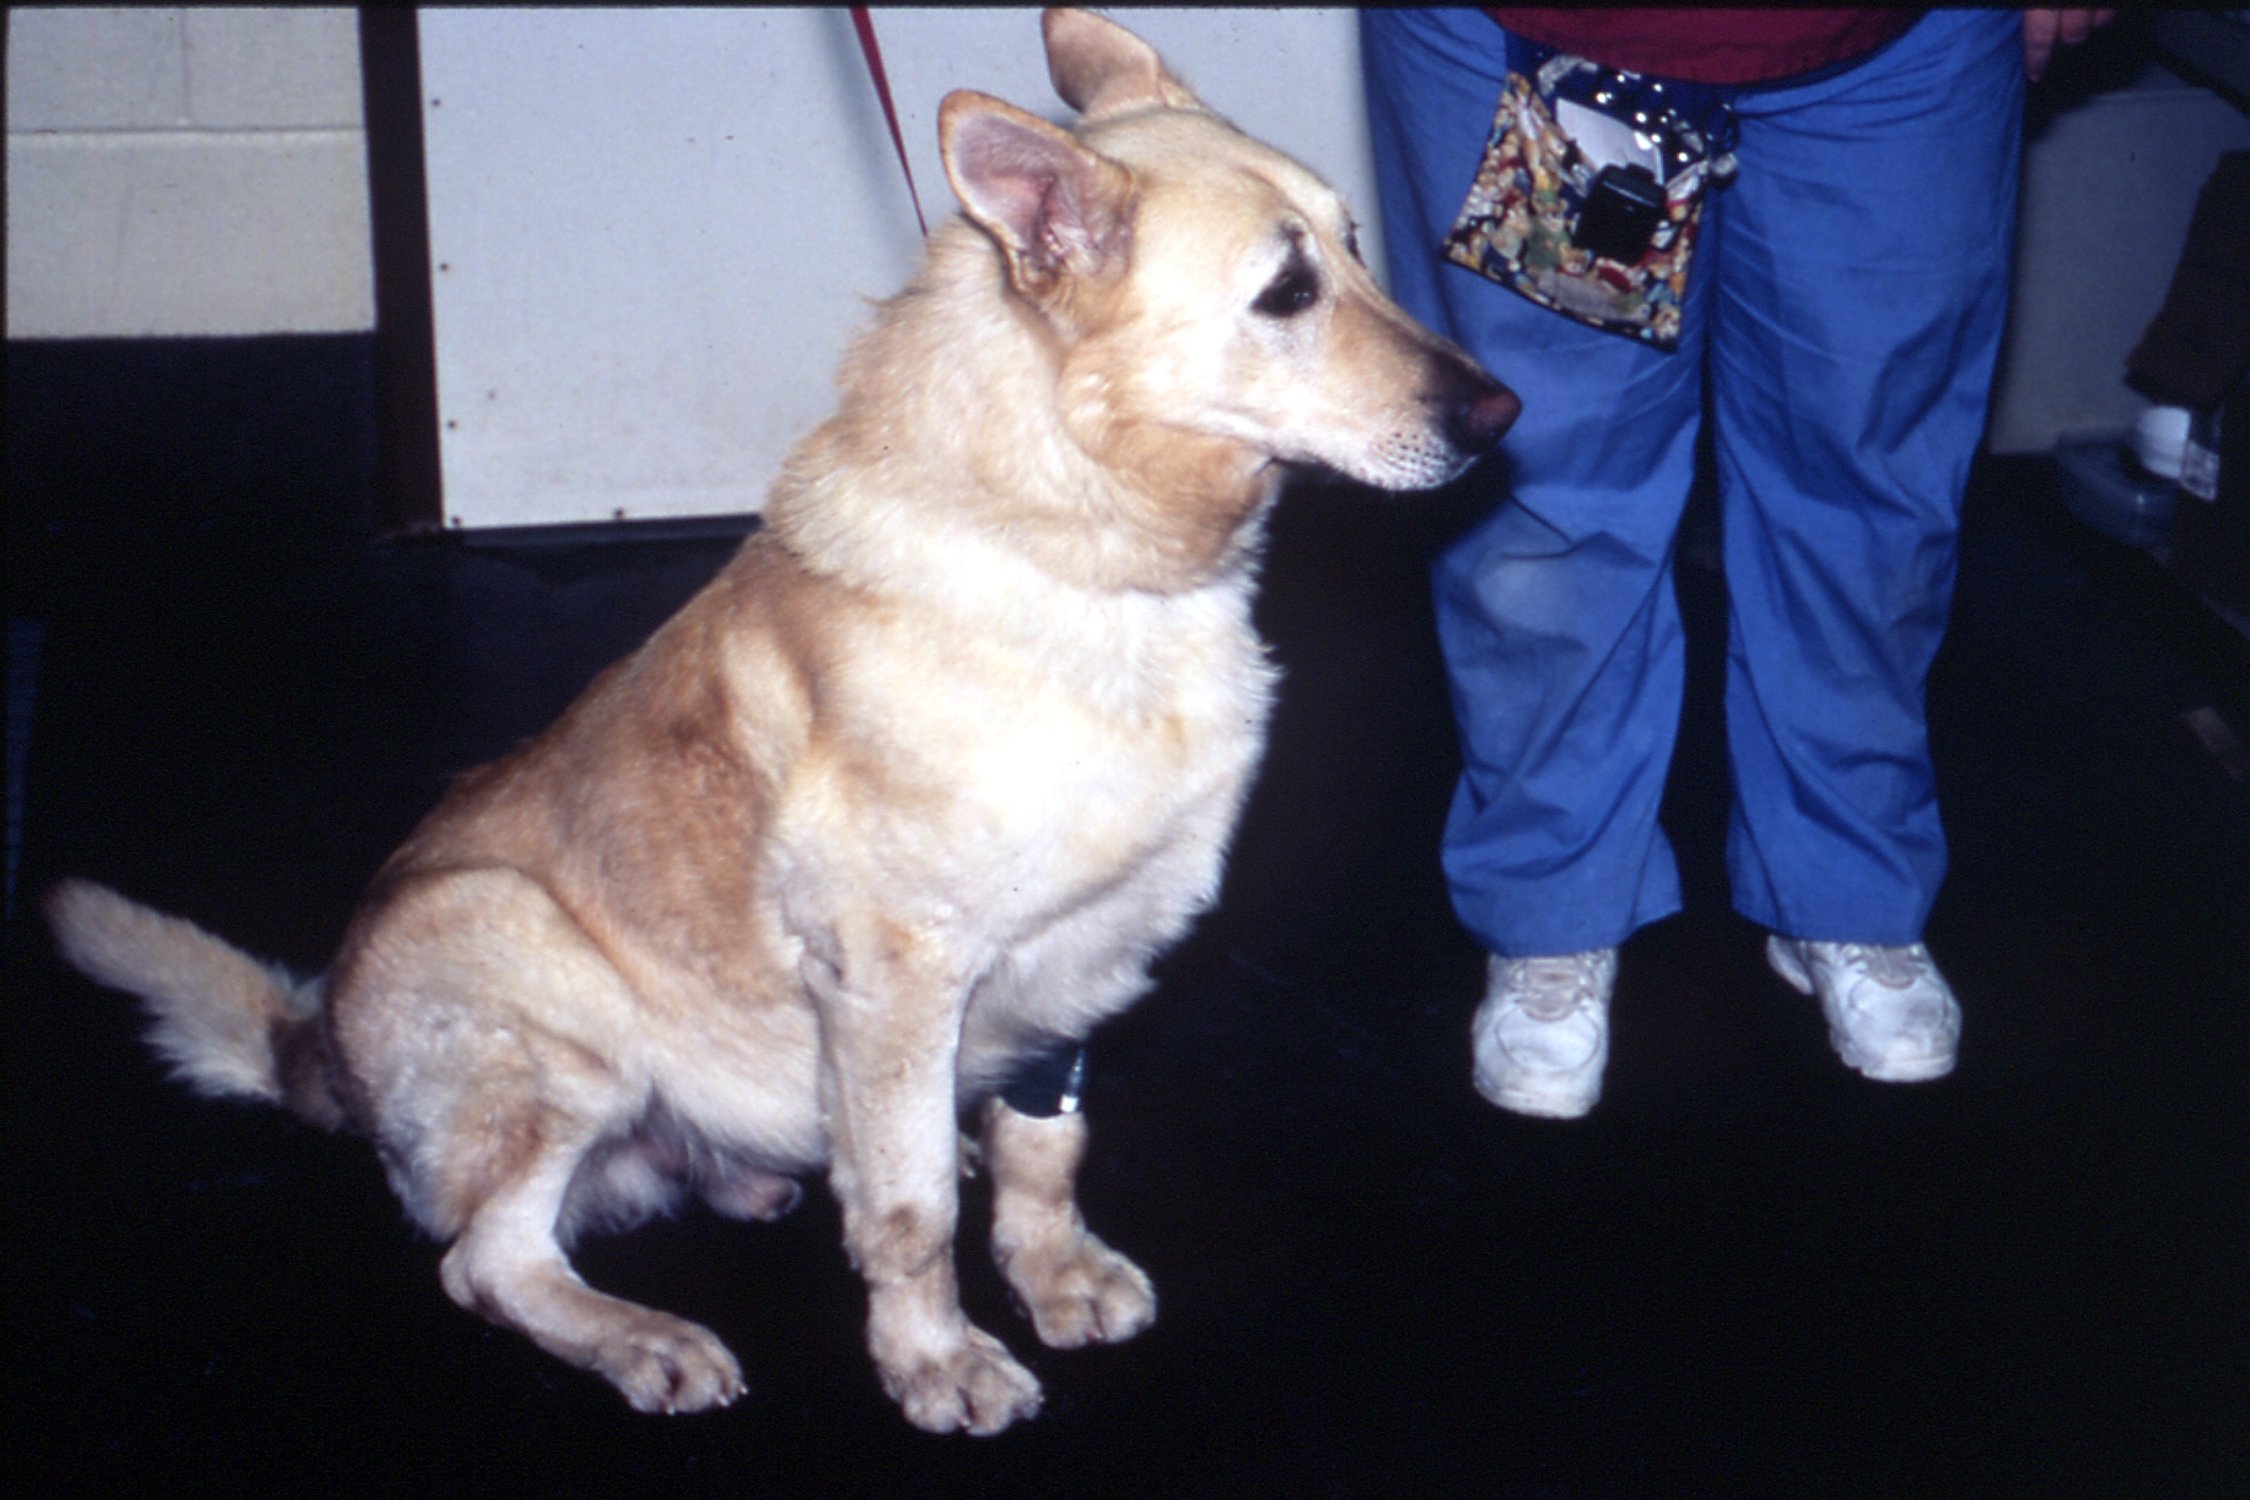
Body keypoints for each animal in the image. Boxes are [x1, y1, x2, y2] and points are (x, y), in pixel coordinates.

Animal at [43, 14, 1512, 1439]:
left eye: (1355, 245)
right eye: (1284, 293)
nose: (1505, 414)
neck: (1073, 554)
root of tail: (325, 1058)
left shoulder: (1080, 961)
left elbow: (1042, 1150)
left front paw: (1049, 1272)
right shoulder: (898, 974)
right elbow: (912, 1213)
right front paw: (934, 1358)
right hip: (523, 968)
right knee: (491, 1261)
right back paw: (643, 1336)